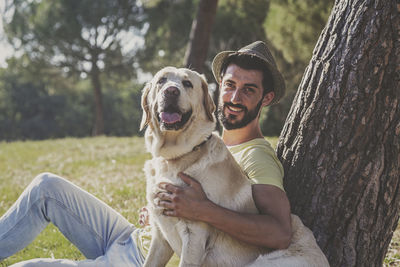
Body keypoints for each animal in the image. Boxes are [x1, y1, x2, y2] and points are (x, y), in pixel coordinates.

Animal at [140, 67, 328, 267]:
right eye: (161, 80)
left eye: (187, 83)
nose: (171, 91)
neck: (174, 157)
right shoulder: (160, 236)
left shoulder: (194, 236)